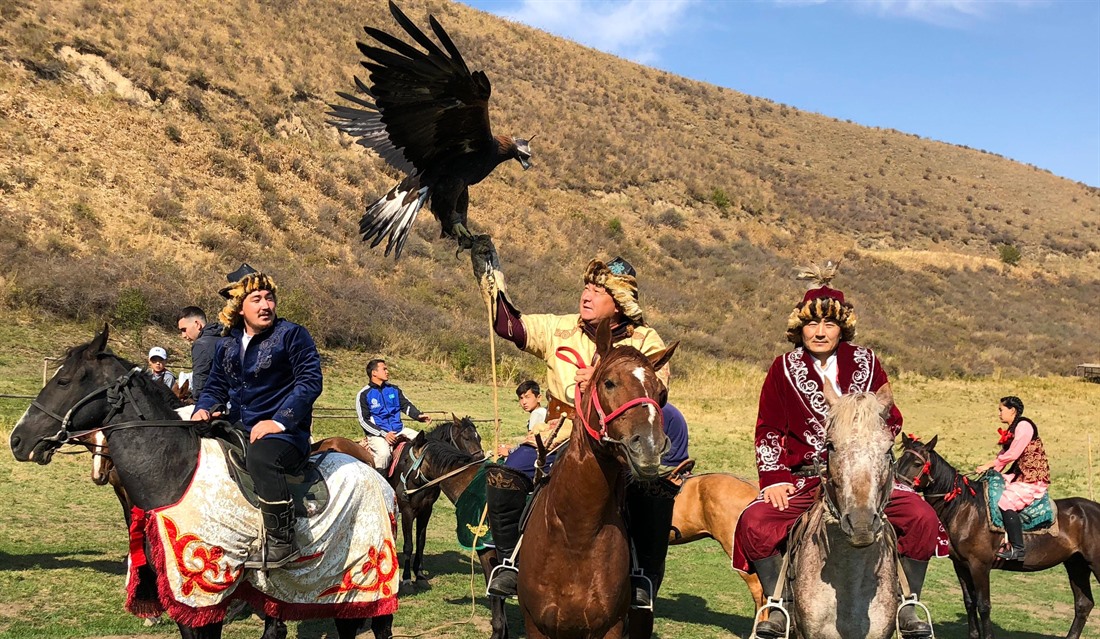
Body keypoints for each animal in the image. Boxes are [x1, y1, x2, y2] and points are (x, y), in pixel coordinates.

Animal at [514, 323, 677, 637]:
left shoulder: (611, 627)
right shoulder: (535, 624)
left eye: (661, 394)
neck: (577, 534)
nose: (649, 447)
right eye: (609, 383)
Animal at [893, 431, 1100, 633]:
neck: (965, 509)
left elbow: (984, 606)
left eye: (917, 463)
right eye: (899, 460)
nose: (897, 487)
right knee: (1083, 604)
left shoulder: (980, 566)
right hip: (1077, 565)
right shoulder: (961, 565)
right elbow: (970, 603)